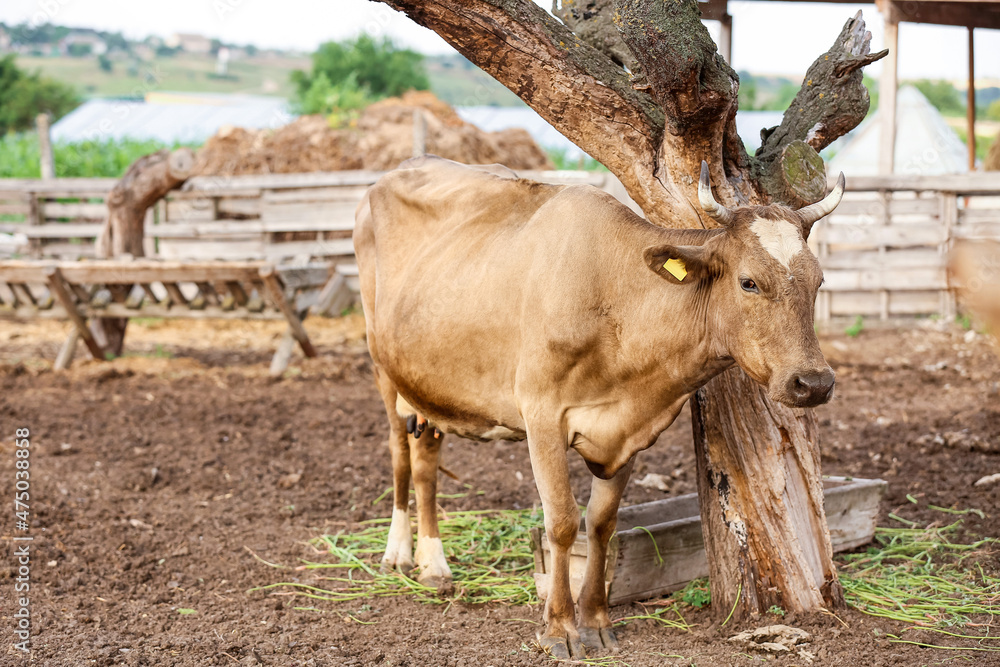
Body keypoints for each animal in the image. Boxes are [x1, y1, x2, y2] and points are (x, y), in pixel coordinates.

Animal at [354, 155, 844, 656]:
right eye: (749, 282)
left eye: (818, 281)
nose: (813, 382)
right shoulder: (542, 415)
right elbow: (562, 522)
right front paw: (560, 629)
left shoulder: (628, 432)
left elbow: (602, 523)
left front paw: (596, 621)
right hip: (382, 365)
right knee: (399, 454)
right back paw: (400, 554)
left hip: (429, 382)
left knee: (426, 460)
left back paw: (433, 563)